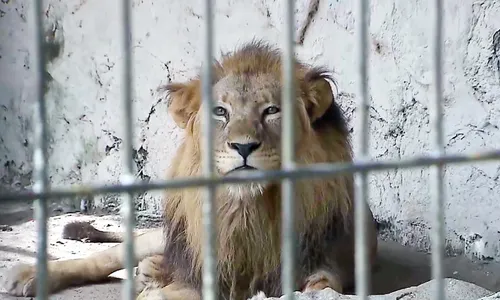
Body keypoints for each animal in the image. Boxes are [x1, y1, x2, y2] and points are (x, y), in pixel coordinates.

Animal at [0, 40, 376, 300]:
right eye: (221, 112)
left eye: (272, 110)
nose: (243, 147)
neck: (247, 210)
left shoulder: (321, 262)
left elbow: (322, 286)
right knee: (108, 256)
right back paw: (31, 275)